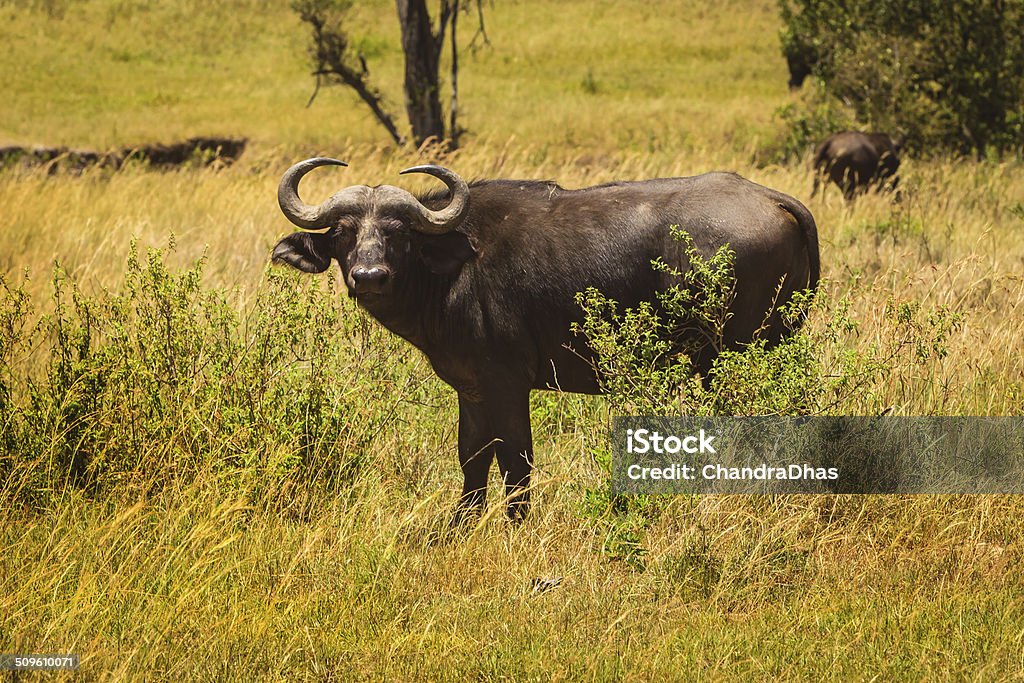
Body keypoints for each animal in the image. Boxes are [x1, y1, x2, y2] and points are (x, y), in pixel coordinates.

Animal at [272, 160, 823, 520]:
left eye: (398, 232)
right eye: (343, 231)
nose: (369, 276)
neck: (454, 269)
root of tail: (771, 198)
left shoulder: (508, 385)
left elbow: (516, 462)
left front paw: (516, 526)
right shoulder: (472, 390)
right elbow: (472, 459)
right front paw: (460, 526)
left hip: (736, 359)